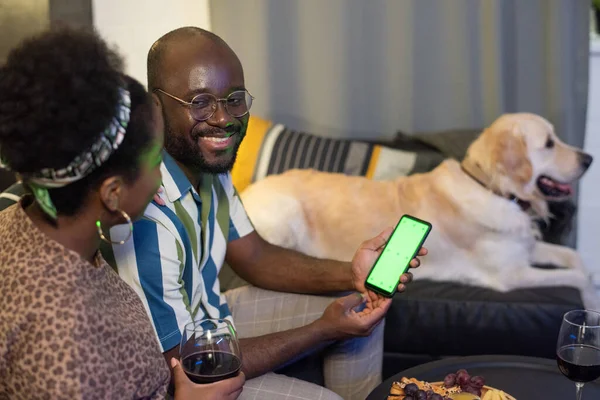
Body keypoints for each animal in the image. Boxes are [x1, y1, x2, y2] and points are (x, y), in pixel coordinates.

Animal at [240, 114, 600, 308]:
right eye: (549, 143)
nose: (589, 159)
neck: (491, 187)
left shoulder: (525, 248)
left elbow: (575, 259)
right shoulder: (512, 275)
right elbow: (576, 277)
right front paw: (592, 305)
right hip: (287, 214)